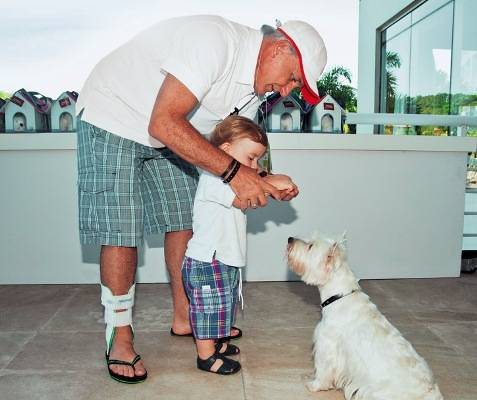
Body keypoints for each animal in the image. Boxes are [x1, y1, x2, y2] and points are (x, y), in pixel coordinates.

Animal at [286, 233, 442, 398]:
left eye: (310, 246)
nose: (289, 238)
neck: (340, 296)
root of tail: (431, 392)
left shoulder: (326, 346)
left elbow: (323, 370)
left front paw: (314, 385)